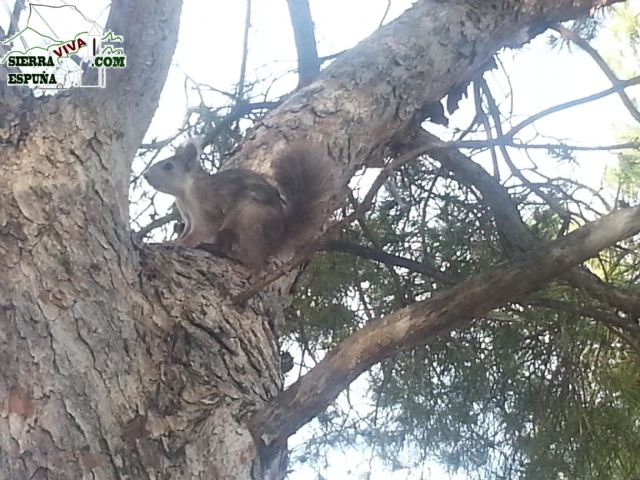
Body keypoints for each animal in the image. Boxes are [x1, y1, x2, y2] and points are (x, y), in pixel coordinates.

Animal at [144, 137, 336, 268]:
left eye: (168, 166)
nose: (145, 175)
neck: (184, 193)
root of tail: (277, 240)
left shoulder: (207, 206)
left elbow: (202, 229)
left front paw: (179, 243)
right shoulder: (188, 215)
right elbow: (188, 229)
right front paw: (174, 240)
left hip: (251, 218)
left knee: (255, 261)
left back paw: (239, 258)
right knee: (224, 246)